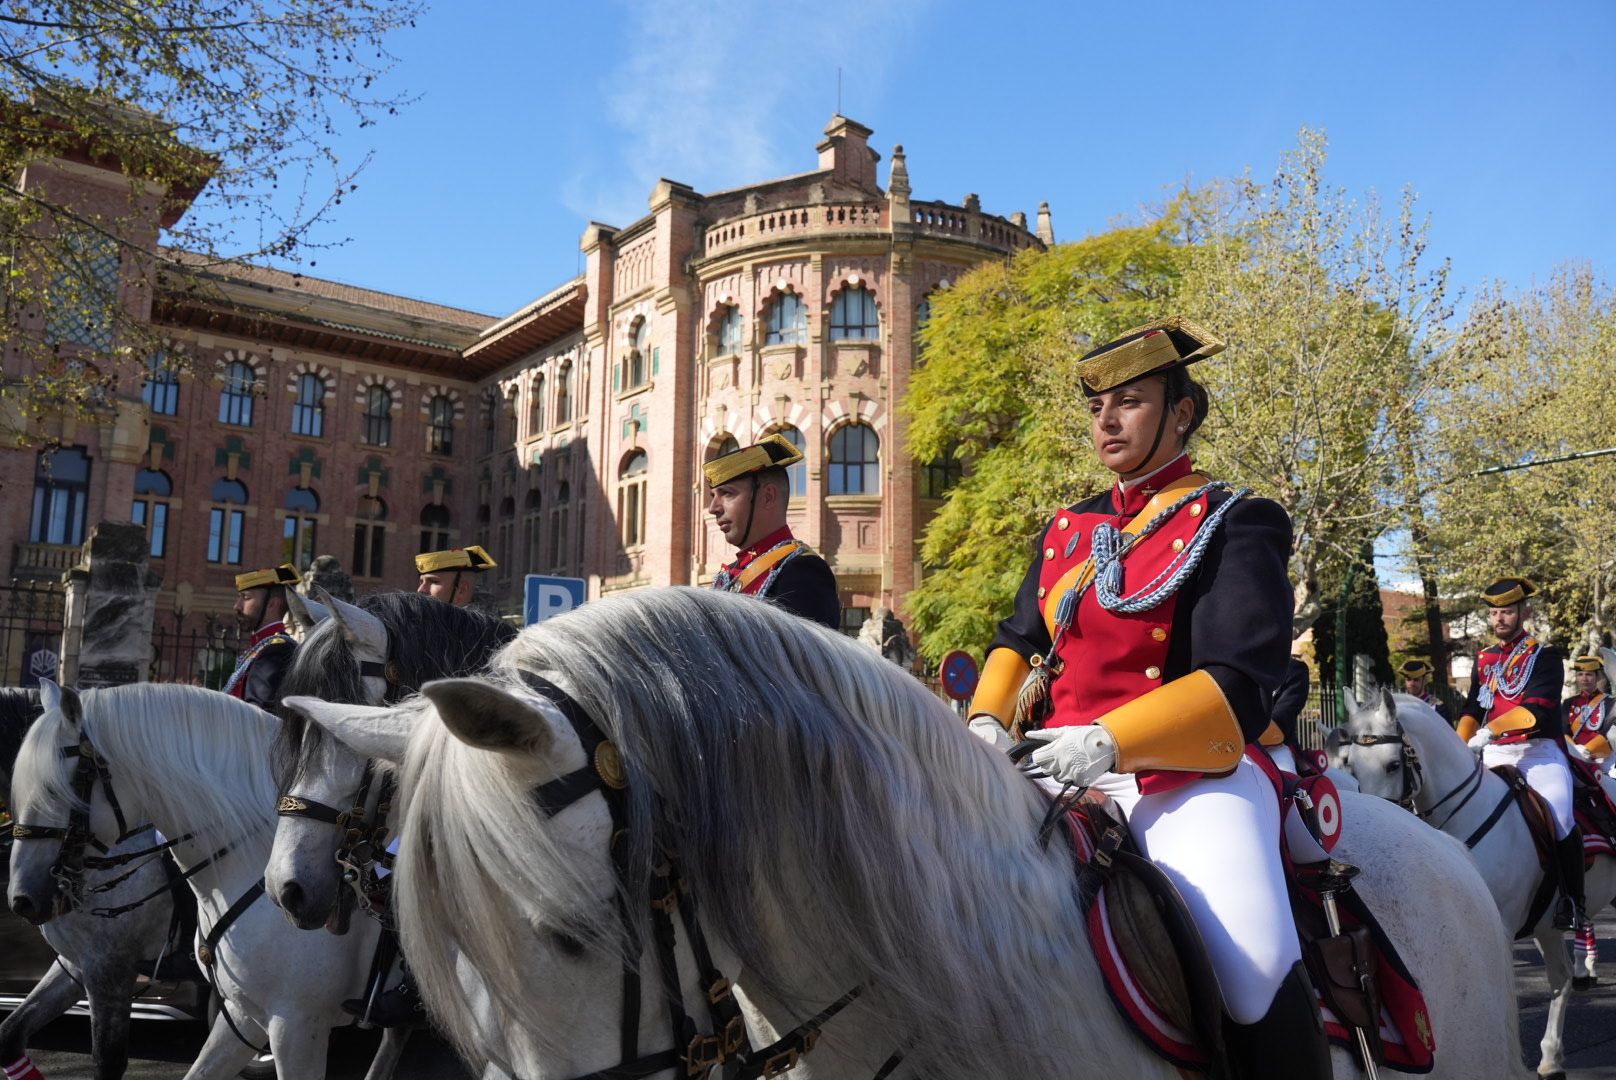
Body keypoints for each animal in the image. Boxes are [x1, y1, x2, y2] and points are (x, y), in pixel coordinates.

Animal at [1325, 691, 1616, 1080]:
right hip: (1548, 925)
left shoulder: (1501, 929)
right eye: (1351, 765)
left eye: (1392, 765)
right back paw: (1551, 1057)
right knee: (1561, 977)